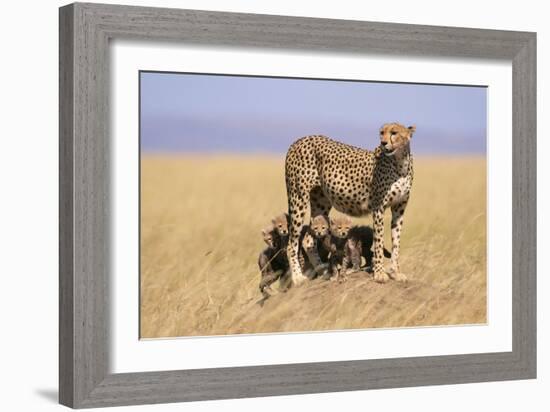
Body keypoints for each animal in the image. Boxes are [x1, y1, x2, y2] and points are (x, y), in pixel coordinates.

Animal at [284, 122, 418, 284]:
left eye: (394, 132)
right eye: (381, 132)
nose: (383, 143)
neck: (400, 163)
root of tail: (300, 139)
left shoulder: (399, 209)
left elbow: (396, 242)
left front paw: (396, 273)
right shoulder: (378, 208)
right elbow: (379, 241)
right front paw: (379, 273)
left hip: (321, 202)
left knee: (308, 240)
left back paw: (323, 271)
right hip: (298, 197)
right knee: (291, 243)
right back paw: (298, 277)